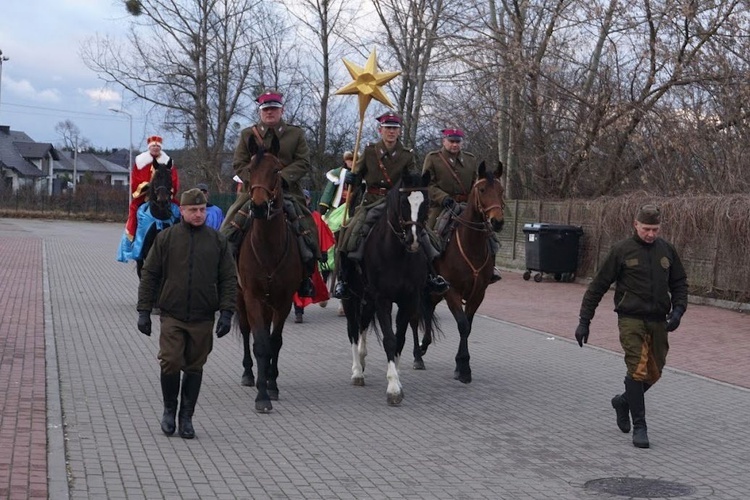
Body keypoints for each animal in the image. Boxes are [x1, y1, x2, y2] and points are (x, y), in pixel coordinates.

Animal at [340, 172, 434, 406]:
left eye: (426, 203)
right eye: (404, 202)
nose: (413, 239)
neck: (397, 254)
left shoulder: (408, 300)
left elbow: (399, 338)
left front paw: (397, 379)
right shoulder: (383, 299)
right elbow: (389, 339)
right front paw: (393, 388)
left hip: (367, 298)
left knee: (363, 325)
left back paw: (362, 359)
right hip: (351, 298)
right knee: (353, 330)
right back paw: (357, 371)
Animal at [414, 160, 508, 382]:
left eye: (500, 191)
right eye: (482, 190)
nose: (497, 222)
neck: (470, 245)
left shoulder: (478, 294)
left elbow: (468, 327)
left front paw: (462, 364)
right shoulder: (452, 291)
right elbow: (463, 325)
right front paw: (463, 367)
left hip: (434, 291)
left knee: (428, 310)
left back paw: (424, 345)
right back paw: (417, 356)